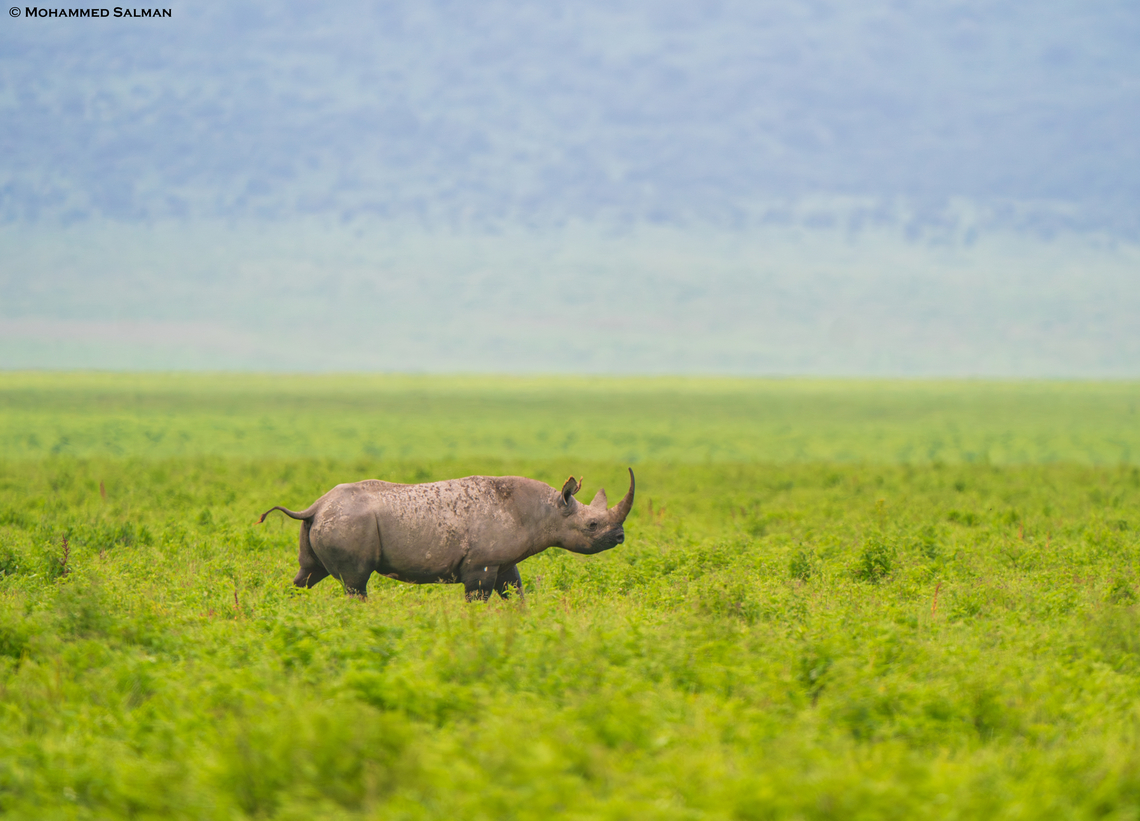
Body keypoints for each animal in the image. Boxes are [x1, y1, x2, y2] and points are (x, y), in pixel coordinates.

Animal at [258, 469, 634, 600]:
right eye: (592, 526)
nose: (619, 538)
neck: (548, 511)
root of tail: (315, 506)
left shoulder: (502, 562)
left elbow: (515, 592)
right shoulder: (481, 565)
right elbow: (478, 599)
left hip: (327, 521)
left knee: (307, 576)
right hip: (348, 522)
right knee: (355, 583)